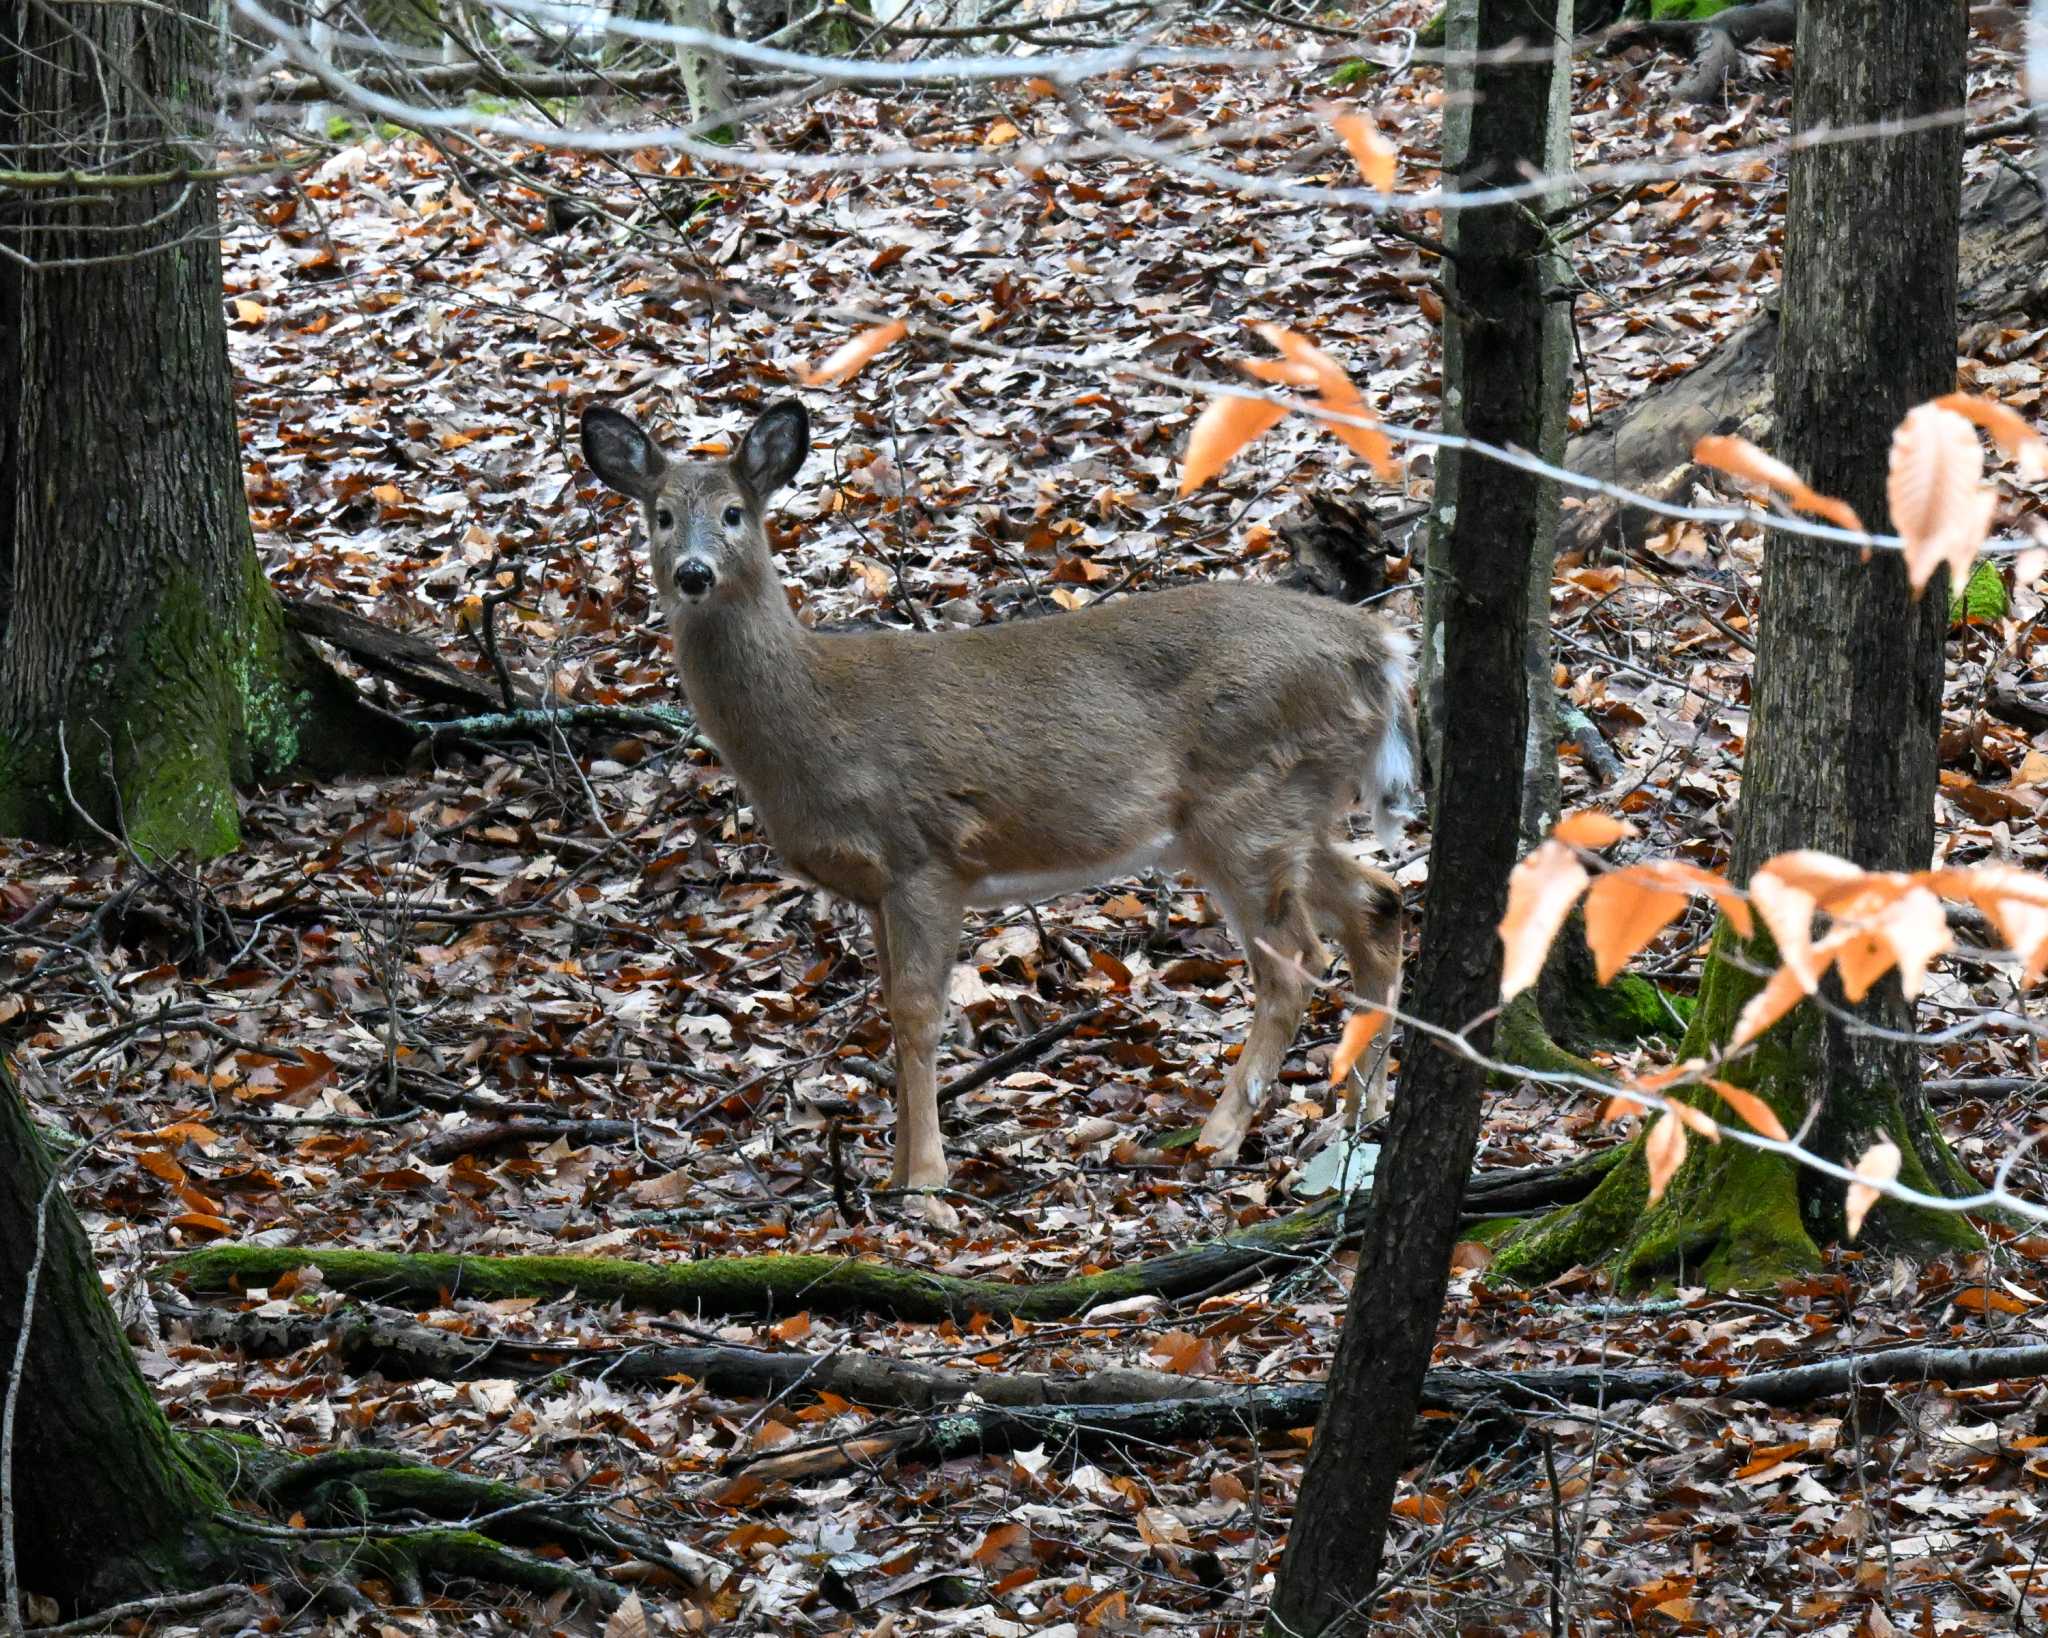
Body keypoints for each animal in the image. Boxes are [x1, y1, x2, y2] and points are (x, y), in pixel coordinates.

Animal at [585, 393, 1417, 1212]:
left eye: (734, 512)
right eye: (660, 514)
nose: (693, 573)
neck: (816, 716)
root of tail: (1379, 648)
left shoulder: (924, 855)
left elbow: (918, 1013)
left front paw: (925, 1184)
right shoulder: (874, 887)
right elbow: (889, 1010)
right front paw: (892, 1172)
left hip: (1247, 803)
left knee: (1295, 962)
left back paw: (1218, 1135)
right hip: (1286, 806)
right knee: (1377, 902)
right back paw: (1357, 1115)